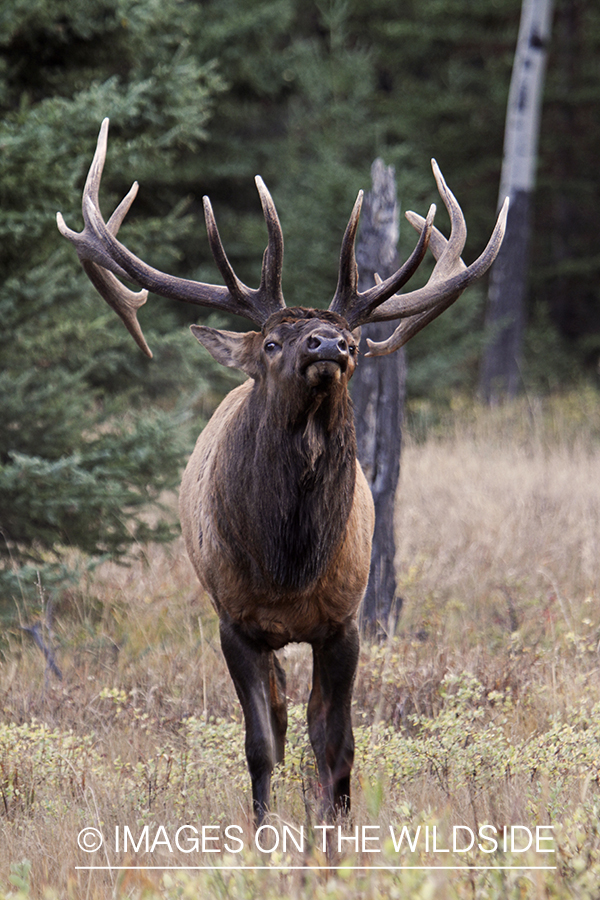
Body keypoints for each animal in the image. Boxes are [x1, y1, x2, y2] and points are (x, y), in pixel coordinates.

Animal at [56, 119, 508, 824]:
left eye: (349, 340)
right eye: (271, 342)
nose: (331, 344)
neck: (288, 561)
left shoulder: (345, 621)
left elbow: (337, 743)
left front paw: (335, 829)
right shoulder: (235, 622)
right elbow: (261, 741)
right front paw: (263, 830)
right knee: (277, 711)